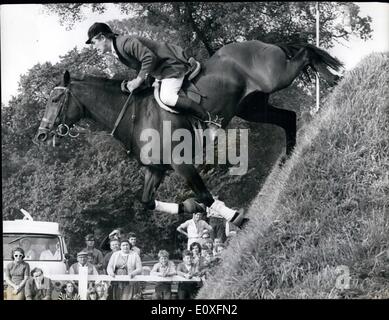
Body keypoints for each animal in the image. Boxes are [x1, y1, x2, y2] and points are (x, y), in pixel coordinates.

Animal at [34, 39, 342, 225]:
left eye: (54, 99)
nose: (41, 134)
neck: (135, 115)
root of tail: (252, 42)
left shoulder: (181, 164)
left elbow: (206, 195)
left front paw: (235, 218)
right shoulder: (155, 169)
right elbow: (147, 202)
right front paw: (191, 209)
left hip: (276, 78)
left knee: (306, 53)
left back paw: (333, 78)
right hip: (252, 108)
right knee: (287, 118)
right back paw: (288, 157)